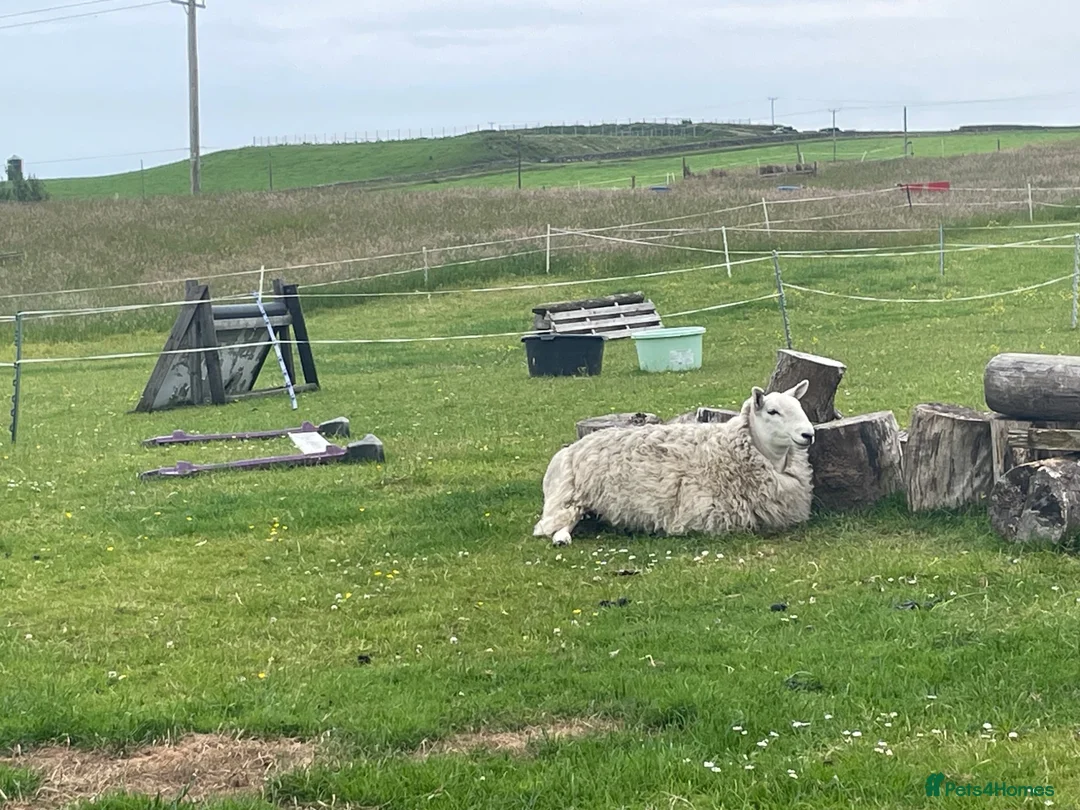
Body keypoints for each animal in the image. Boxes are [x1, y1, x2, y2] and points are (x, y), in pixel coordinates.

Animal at [533, 381, 815, 546]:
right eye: (772, 411)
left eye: (799, 406)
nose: (808, 434)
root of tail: (572, 447)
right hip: (569, 497)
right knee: (551, 525)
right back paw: (561, 538)